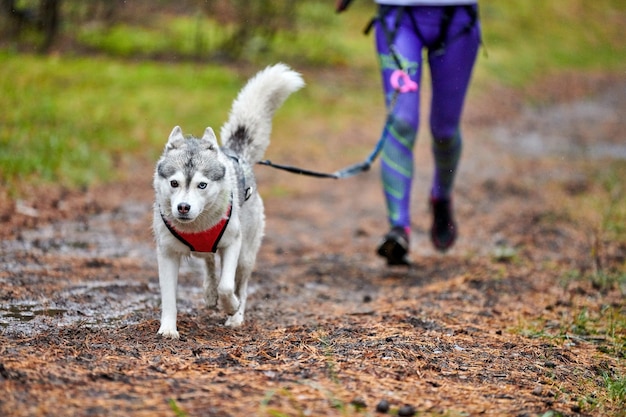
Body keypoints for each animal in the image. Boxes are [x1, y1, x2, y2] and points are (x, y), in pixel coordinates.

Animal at [154, 65, 304, 338]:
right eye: (174, 183)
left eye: (202, 185)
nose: (183, 207)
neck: (198, 227)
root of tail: (236, 154)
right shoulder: (167, 253)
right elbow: (169, 296)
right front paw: (168, 329)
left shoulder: (233, 244)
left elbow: (227, 285)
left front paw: (230, 306)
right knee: (209, 262)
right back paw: (209, 292)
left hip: (246, 254)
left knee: (240, 282)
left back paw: (236, 315)